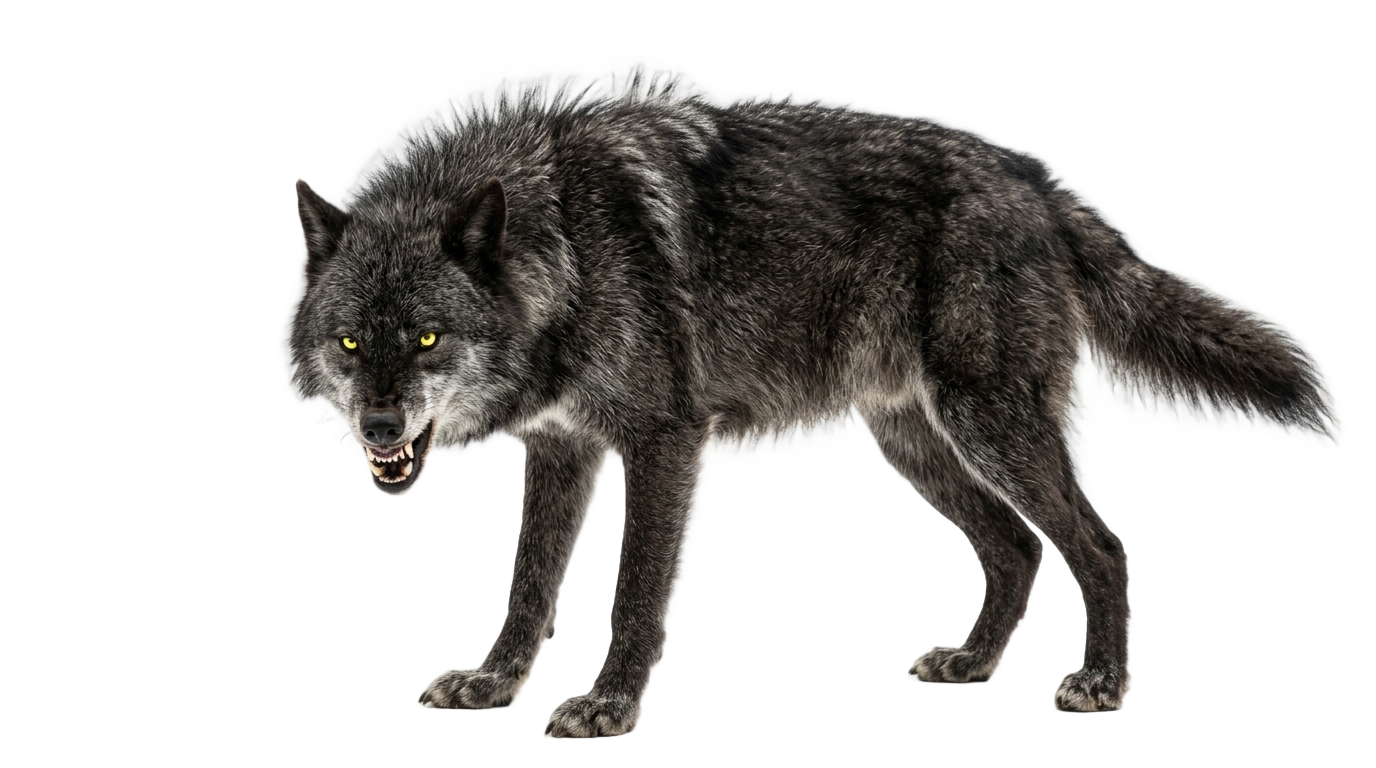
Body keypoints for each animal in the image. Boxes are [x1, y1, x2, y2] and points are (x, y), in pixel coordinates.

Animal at [286, 72, 1330, 736]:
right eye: (350, 343)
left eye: (427, 339)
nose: (379, 428)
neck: (566, 239)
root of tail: (1038, 182)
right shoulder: (561, 446)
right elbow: (529, 584)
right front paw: (495, 682)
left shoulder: (664, 438)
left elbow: (636, 592)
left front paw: (608, 706)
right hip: (915, 438)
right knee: (1016, 545)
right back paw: (971, 666)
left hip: (988, 422)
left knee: (1098, 544)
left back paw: (1096, 684)